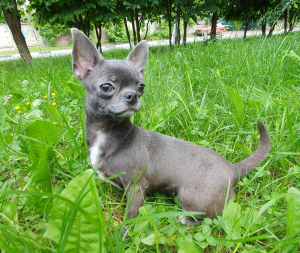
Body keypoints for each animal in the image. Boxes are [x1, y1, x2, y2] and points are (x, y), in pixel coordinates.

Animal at [71, 28, 270, 224]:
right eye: (106, 87)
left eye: (141, 87)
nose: (132, 95)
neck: (108, 133)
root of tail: (231, 169)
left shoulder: (136, 187)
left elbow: (130, 215)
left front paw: (123, 232)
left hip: (191, 197)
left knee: (209, 217)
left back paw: (185, 219)